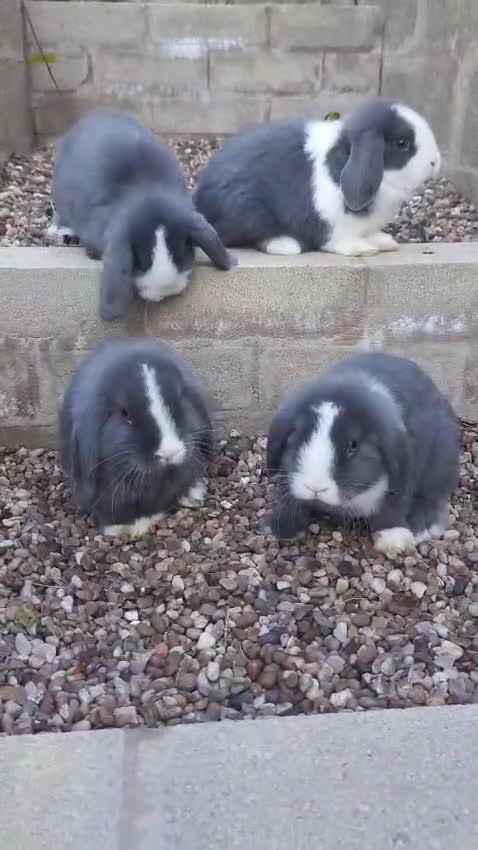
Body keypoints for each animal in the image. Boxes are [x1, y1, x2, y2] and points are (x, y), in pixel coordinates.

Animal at [195, 97, 440, 258]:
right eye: (402, 143)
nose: (435, 162)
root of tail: (201, 200)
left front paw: (384, 241)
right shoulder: (331, 222)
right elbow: (337, 238)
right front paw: (362, 249)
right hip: (248, 210)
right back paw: (286, 245)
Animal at [265, 352, 460, 555]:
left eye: (353, 445)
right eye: (298, 436)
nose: (315, 487)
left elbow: (396, 504)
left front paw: (393, 539)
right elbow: (290, 501)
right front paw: (283, 528)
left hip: (440, 466)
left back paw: (423, 528)